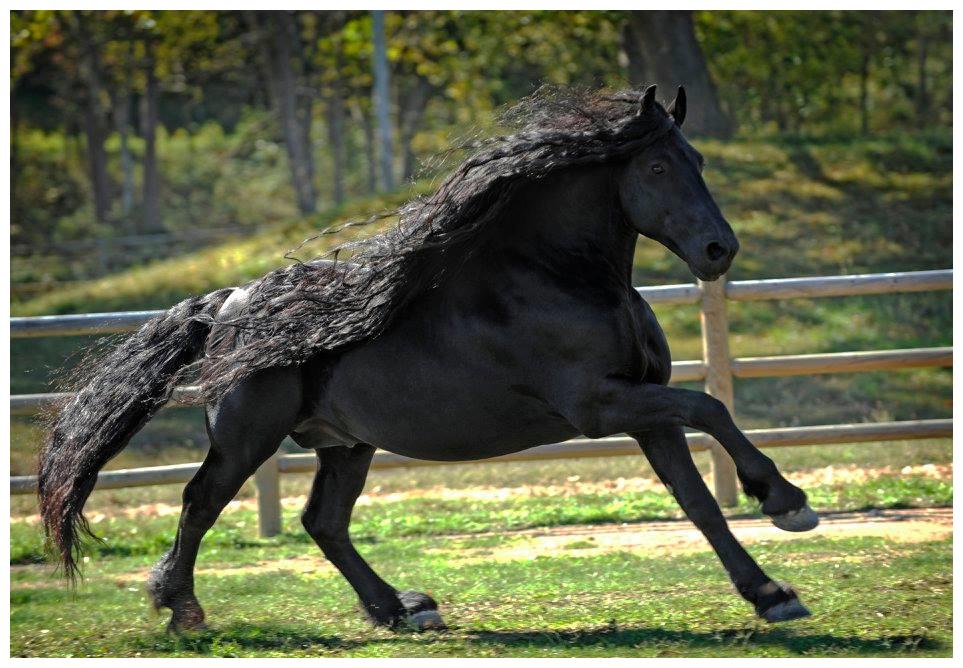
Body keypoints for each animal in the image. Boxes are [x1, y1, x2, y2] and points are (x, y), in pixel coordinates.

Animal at [38, 85, 819, 634]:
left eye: (699, 162)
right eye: (657, 165)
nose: (719, 250)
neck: (559, 277)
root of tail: (227, 303)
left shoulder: (642, 408)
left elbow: (697, 499)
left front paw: (771, 593)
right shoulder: (602, 405)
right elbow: (710, 406)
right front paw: (785, 501)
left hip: (344, 445)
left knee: (323, 522)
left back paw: (400, 609)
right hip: (246, 438)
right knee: (201, 502)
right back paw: (182, 610)